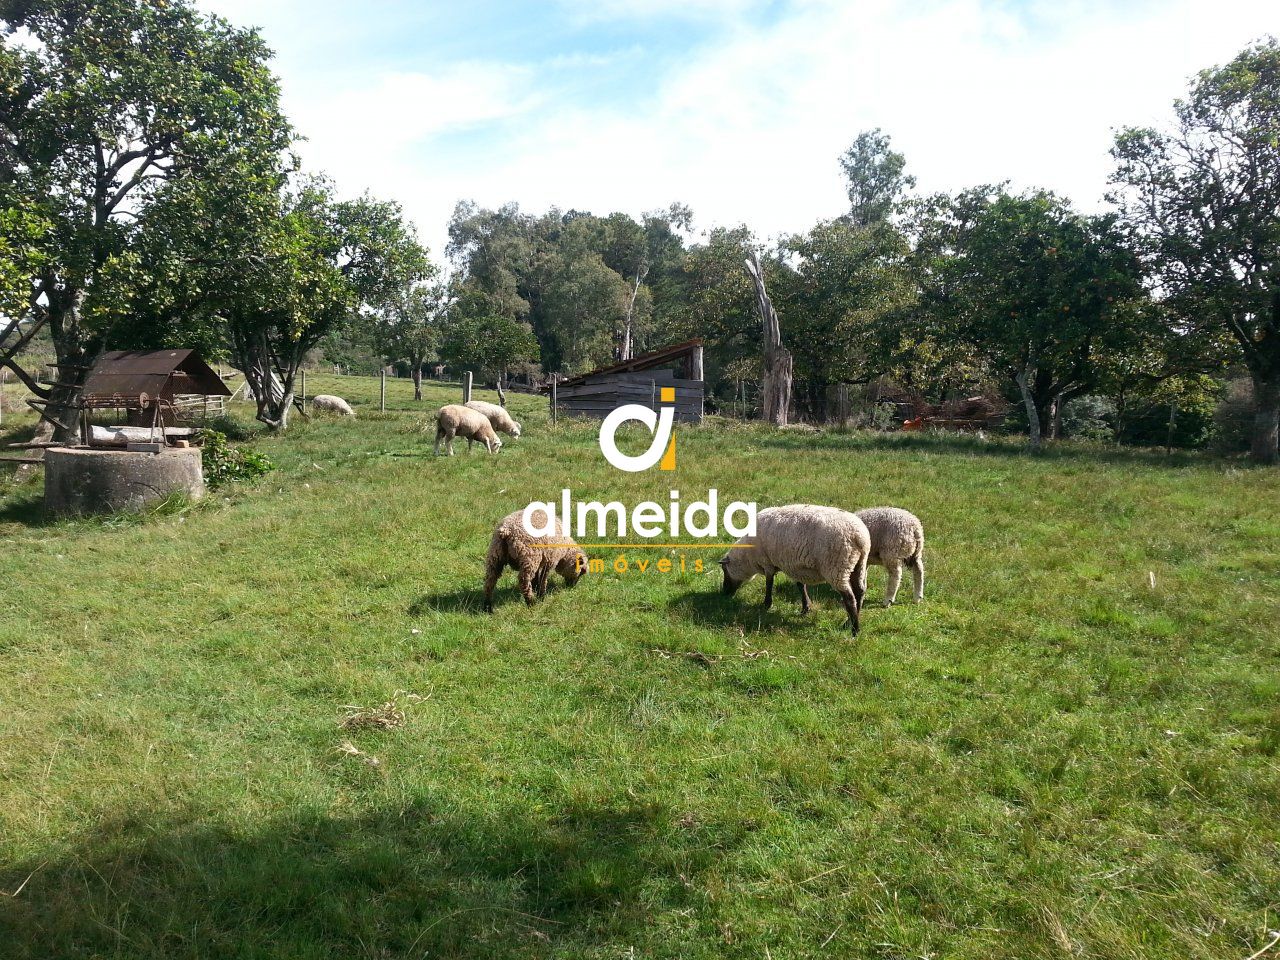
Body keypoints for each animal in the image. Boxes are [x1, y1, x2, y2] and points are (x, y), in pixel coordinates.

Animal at [721, 504, 870, 640]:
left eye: (724, 571)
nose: (724, 593)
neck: (748, 556)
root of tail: (859, 536)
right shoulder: (795, 566)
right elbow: (800, 585)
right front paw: (805, 608)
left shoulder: (767, 563)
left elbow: (769, 584)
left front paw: (766, 604)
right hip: (859, 565)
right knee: (859, 592)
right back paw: (848, 622)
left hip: (836, 568)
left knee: (849, 598)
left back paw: (855, 631)